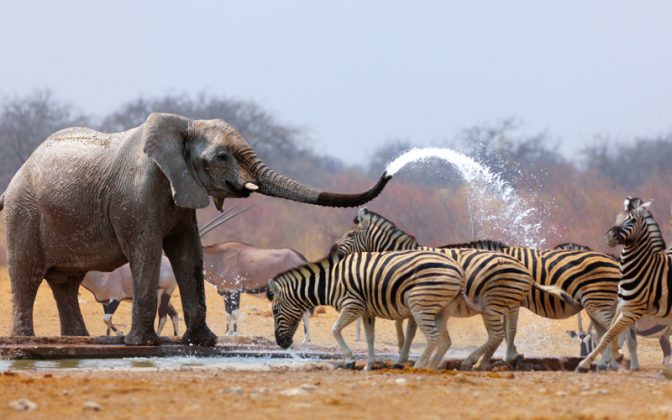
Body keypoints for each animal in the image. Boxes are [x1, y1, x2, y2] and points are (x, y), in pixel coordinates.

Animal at [0, 113, 392, 346]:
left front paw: (203, 342)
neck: (183, 126)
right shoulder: (136, 196)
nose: (389, 172)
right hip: (23, 213)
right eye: (222, 157)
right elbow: (147, 252)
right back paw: (25, 344)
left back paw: (79, 341)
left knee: (65, 282)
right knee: (28, 275)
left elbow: (188, 254)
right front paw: (142, 345)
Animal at [266, 251, 464, 370]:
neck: (330, 282)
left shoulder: (353, 305)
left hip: (420, 304)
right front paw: (369, 365)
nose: (281, 344)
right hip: (438, 308)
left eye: (275, 311)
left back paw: (419, 367)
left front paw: (350, 360)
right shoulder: (367, 312)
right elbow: (370, 338)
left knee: (433, 336)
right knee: (443, 340)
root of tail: (457, 267)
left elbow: (335, 330)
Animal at [336, 208, 636, 370]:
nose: (333, 253)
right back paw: (614, 362)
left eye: (350, 235)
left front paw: (401, 359)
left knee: (613, 329)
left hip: (596, 301)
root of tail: (612, 260)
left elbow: (410, 331)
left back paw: (611, 361)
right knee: (616, 329)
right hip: (600, 303)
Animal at [576, 197, 672, 370]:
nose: (609, 237)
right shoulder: (622, 309)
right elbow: (610, 334)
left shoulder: (631, 312)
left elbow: (617, 336)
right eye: (617, 217)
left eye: (632, 220)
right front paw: (613, 360)